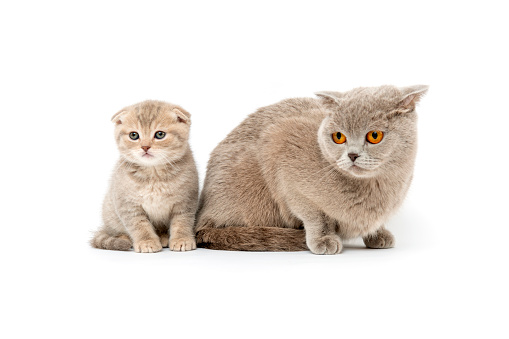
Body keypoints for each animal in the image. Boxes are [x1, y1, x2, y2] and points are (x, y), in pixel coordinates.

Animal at [90, 100, 197, 252]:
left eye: (160, 134)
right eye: (134, 135)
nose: (145, 147)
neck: (153, 175)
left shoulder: (186, 201)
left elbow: (182, 222)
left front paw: (182, 239)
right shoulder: (128, 205)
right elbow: (139, 226)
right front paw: (147, 242)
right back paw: (124, 239)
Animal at [196, 85, 426, 255]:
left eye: (374, 136)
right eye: (338, 136)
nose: (352, 155)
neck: (375, 188)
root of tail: (202, 215)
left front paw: (378, 234)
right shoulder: (283, 157)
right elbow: (314, 214)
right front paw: (324, 239)